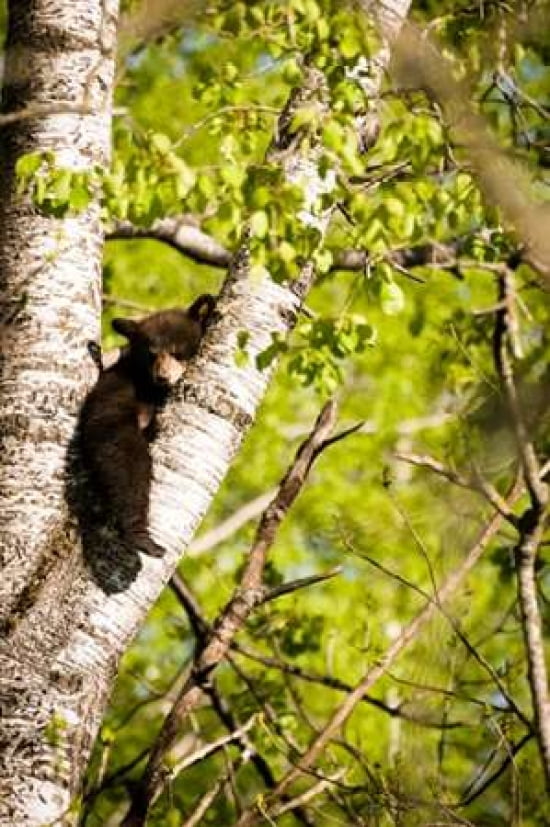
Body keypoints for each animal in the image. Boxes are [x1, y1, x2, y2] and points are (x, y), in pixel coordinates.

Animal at [80, 294, 216, 558]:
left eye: (177, 352)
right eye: (151, 354)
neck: (152, 391)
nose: (162, 376)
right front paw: (139, 534)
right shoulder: (121, 384)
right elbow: (116, 440)